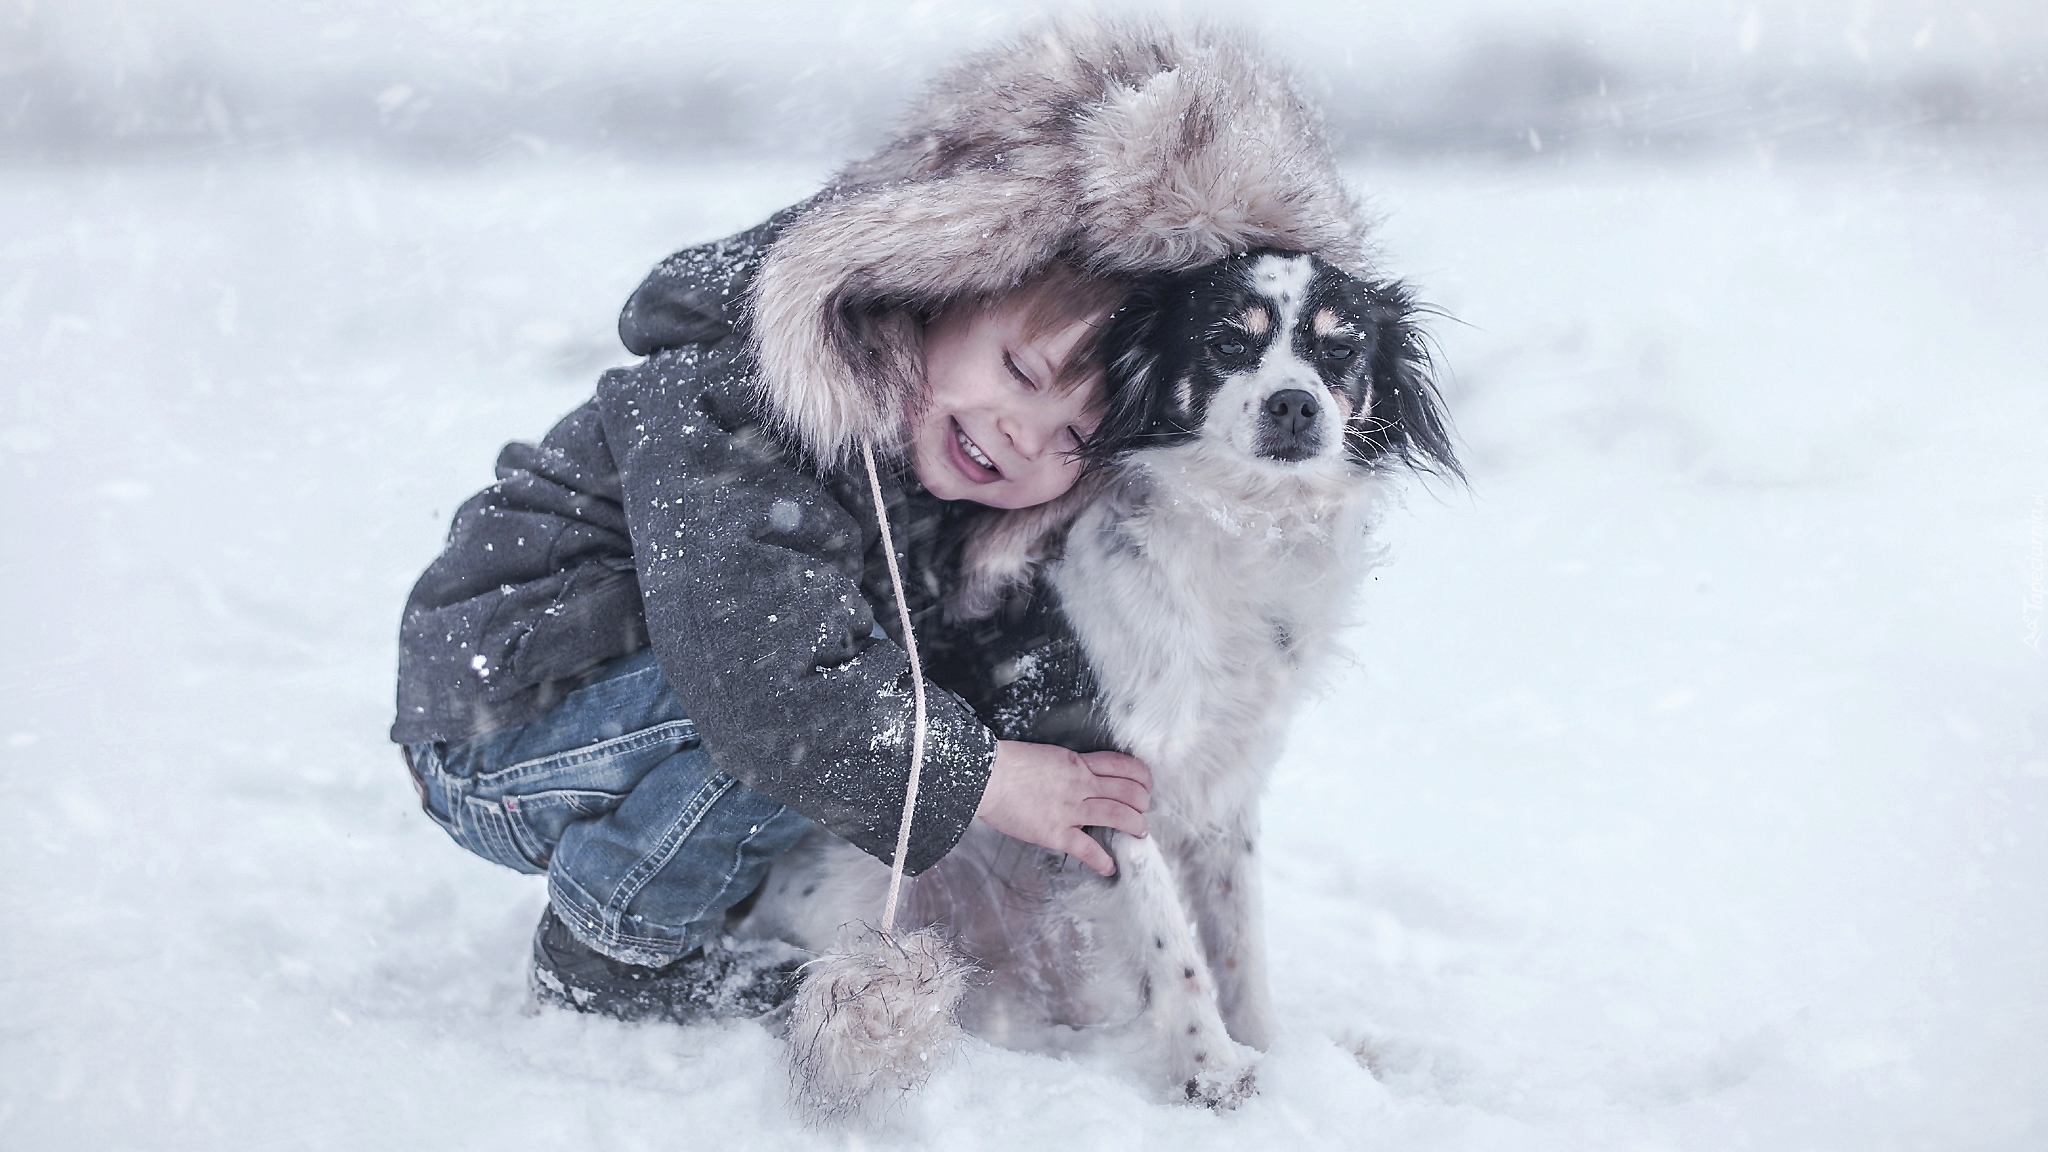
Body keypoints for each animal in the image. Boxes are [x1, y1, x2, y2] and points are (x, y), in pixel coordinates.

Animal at [737, 253, 1458, 1106]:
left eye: (1340, 350)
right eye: (1225, 343)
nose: (1295, 403)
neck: (1244, 528)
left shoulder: (1227, 783)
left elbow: (1238, 939)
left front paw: (1270, 1049)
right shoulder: (1103, 764)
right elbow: (1173, 942)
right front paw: (1213, 1070)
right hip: (859, 887)